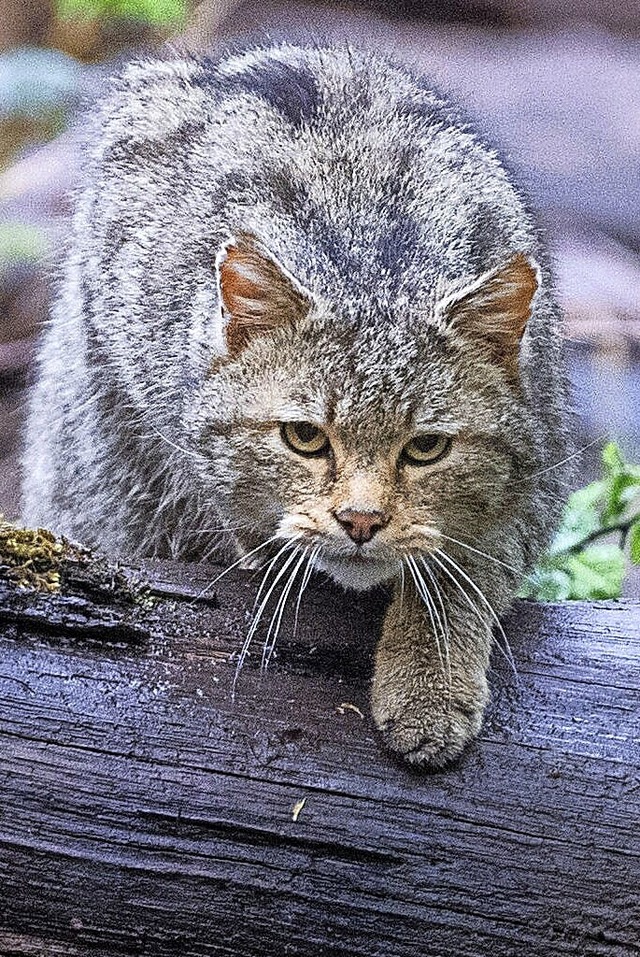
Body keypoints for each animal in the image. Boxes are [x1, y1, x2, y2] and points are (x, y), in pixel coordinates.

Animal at [21, 44, 568, 764]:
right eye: (304, 437)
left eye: (426, 447)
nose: (361, 521)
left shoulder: (540, 475)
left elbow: (465, 572)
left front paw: (428, 682)